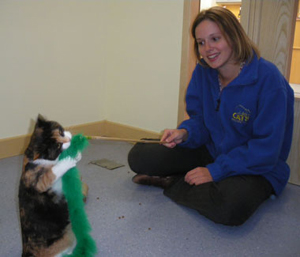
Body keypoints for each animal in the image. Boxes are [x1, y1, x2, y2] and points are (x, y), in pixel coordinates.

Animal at [18, 115, 84, 256]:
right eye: (58, 145)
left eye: (61, 132)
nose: (69, 139)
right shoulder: (36, 180)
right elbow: (53, 171)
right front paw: (69, 159)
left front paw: (77, 154)